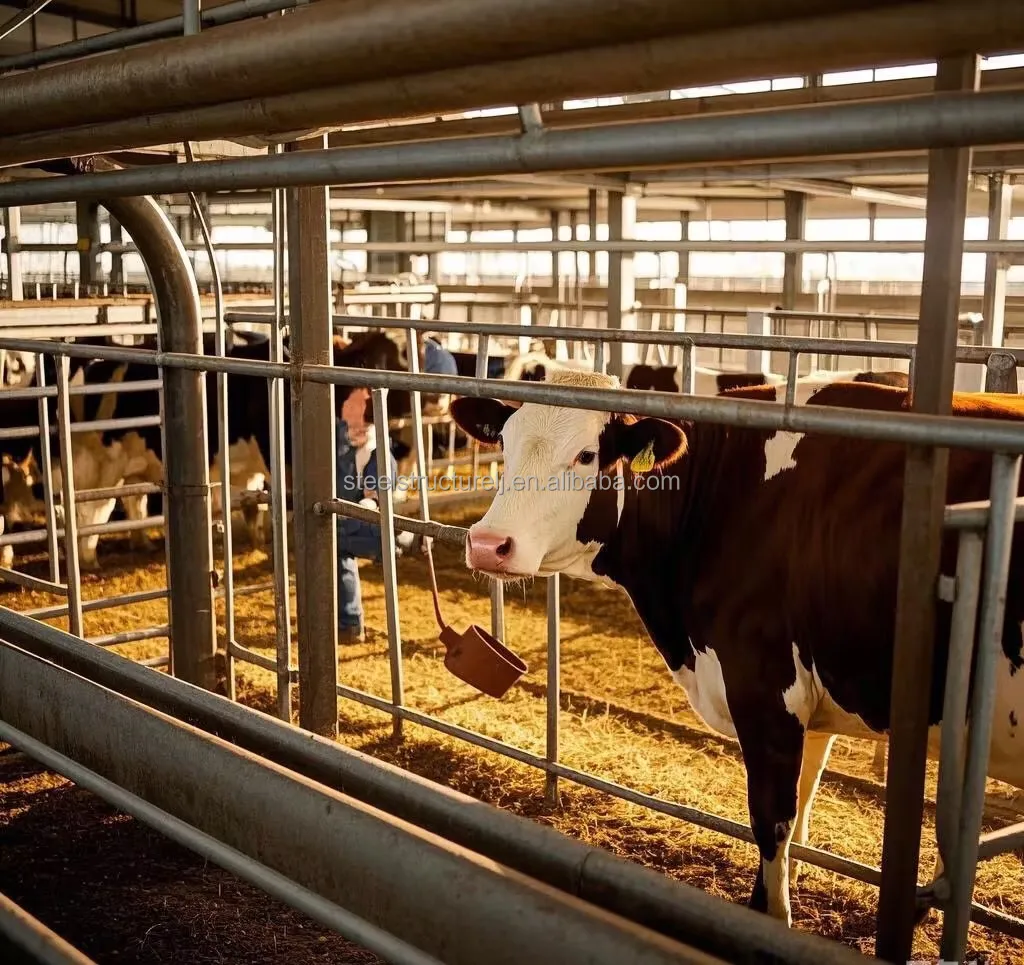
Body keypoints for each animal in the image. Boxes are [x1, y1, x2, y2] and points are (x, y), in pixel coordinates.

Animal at [447, 368, 1023, 931]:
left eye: (587, 455)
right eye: (505, 445)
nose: (488, 544)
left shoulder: (765, 692)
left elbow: (772, 820)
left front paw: (769, 921)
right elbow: (803, 800)